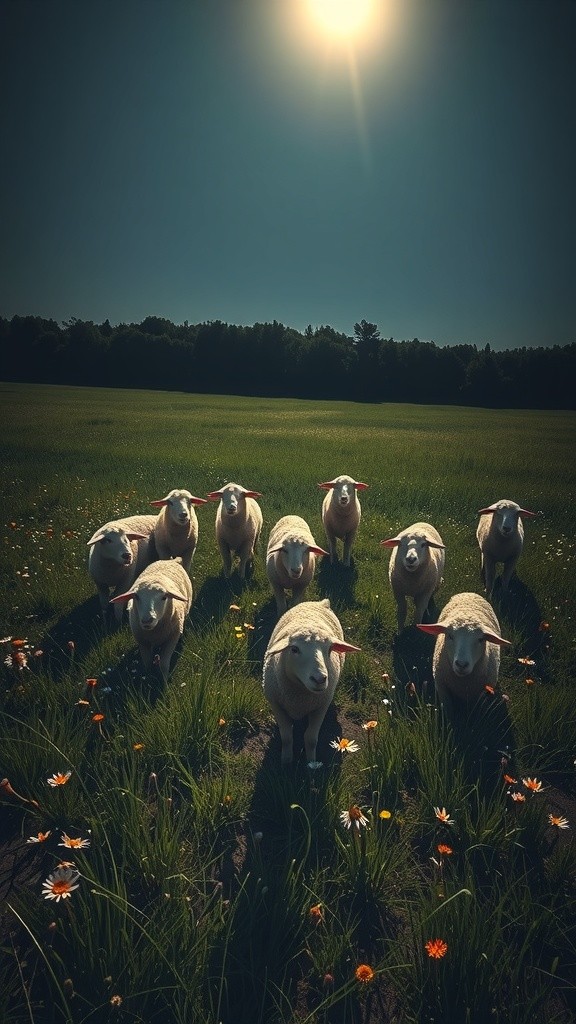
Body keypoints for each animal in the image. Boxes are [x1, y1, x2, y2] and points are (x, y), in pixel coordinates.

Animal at [263, 598, 361, 766]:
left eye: (329, 650)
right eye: (294, 649)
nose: (320, 679)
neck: (299, 696)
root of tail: (319, 602)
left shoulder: (320, 707)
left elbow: (310, 739)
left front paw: (311, 762)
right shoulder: (276, 704)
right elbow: (286, 736)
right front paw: (286, 761)